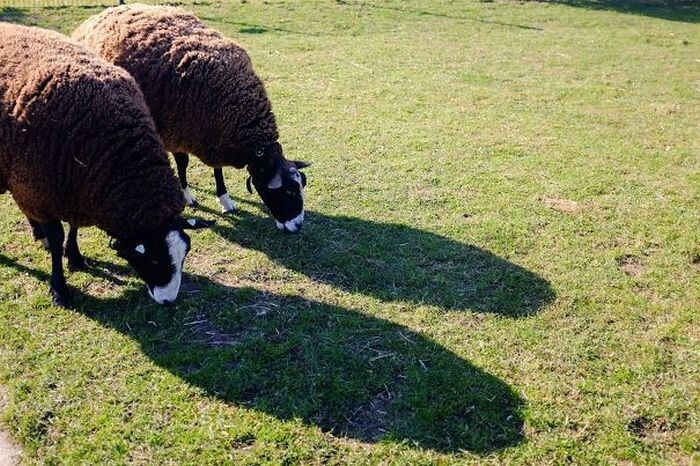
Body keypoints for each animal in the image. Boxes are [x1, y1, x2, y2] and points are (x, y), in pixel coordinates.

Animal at [0, 23, 211, 310]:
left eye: (186, 252)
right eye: (152, 257)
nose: (168, 301)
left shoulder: (76, 191)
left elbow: (74, 227)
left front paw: (75, 257)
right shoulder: (41, 187)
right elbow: (56, 239)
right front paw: (59, 290)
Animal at [72, 4, 310, 233]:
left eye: (300, 186)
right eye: (287, 191)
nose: (297, 227)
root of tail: (102, 14)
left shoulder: (213, 137)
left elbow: (217, 169)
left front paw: (225, 200)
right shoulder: (176, 132)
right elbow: (183, 163)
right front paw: (187, 195)